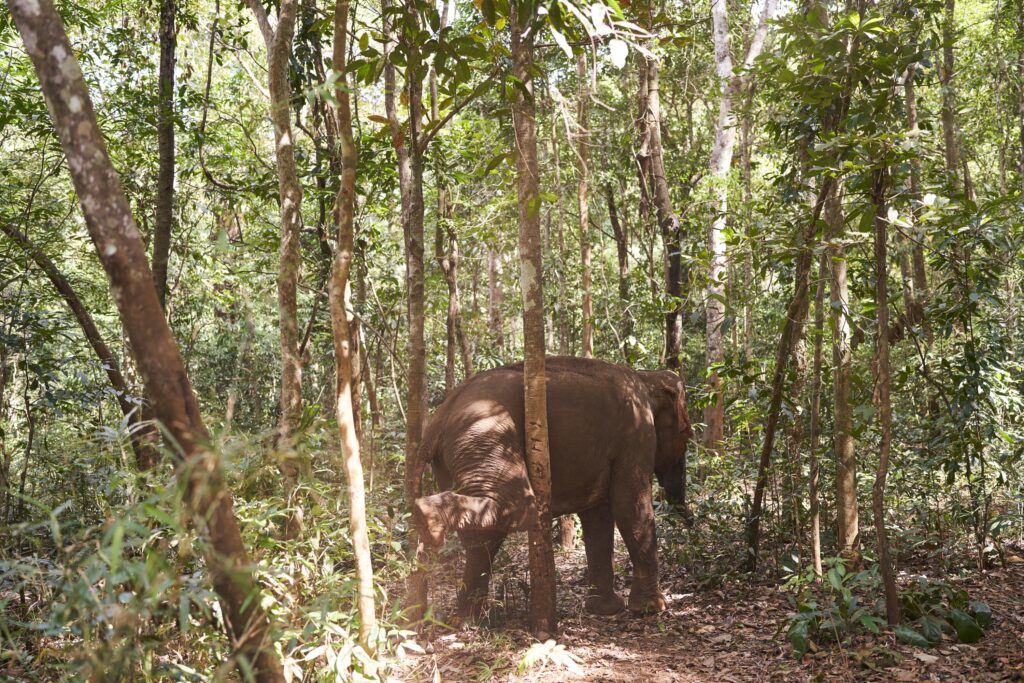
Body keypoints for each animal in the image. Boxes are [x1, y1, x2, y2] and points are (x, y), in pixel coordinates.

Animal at [405, 358, 688, 618]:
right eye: (687, 432)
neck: (646, 377)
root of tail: (439, 418)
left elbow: (597, 518)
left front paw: (606, 609)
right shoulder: (636, 433)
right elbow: (629, 505)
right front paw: (652, 609)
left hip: (459, 455)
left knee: (482, 538)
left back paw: (467, 618)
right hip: (485, 438)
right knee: (518, 506)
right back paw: (426, 516)